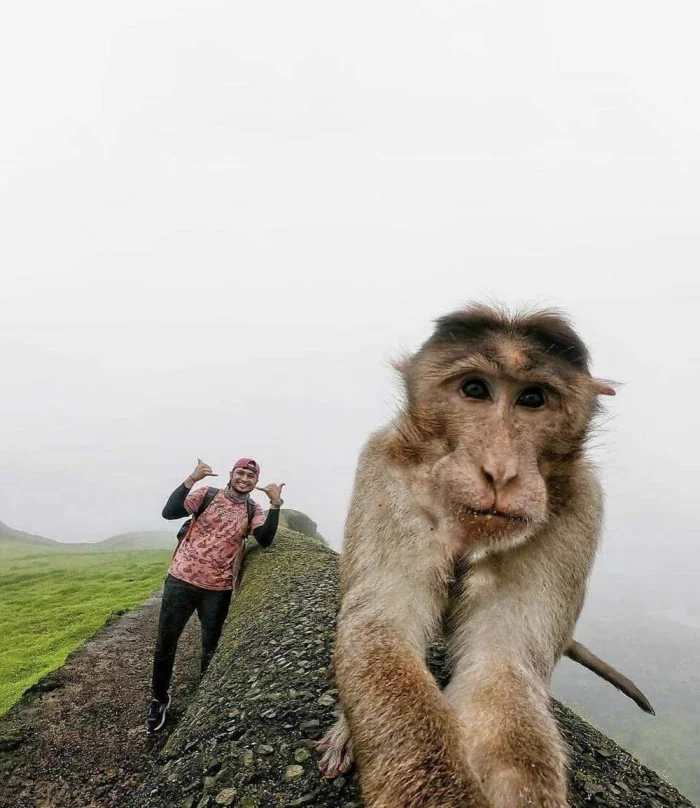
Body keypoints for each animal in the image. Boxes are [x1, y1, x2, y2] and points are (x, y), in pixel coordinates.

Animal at [324, 305, 651, 808]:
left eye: (533, 398)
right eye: (475, 389)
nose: (500, 471)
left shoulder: (580, 508)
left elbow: (501, 670)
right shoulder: (386, 471)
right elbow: (380, 625)